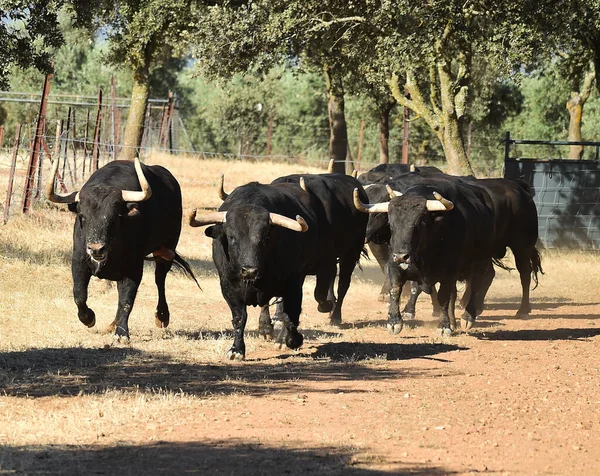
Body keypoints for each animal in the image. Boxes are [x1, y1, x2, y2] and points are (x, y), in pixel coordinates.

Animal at [47, 156, 197, 338]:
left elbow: (127, 299)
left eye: (115, 216)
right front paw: (89, 318)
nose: (96, 248)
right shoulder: (79, 261)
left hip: (166, 250)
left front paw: (122, 333)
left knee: (159, 279)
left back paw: (162, 316)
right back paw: (113, 324)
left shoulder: (133, 268)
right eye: (82, 216)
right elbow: (79, 295)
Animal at [192, 177, 368, 358]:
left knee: (338, 285)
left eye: (265, 237)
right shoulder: (228, 286)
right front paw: (237, 349)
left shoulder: (293, 283)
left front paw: (290, 340)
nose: (249, 271)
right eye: (232, 237)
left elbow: (290, 313)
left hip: (348, 255)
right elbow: (240, 318)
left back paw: (332, 313)